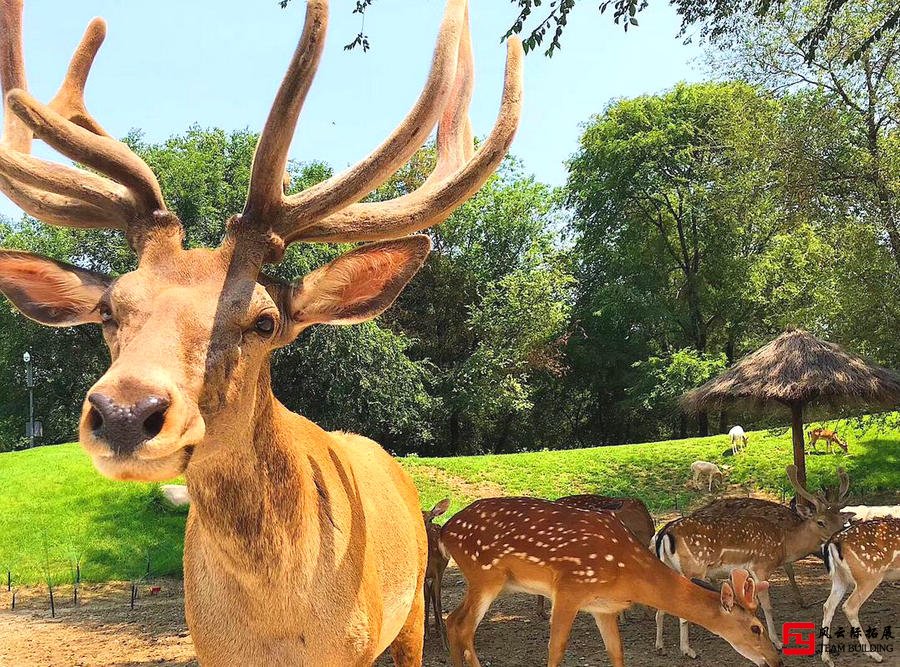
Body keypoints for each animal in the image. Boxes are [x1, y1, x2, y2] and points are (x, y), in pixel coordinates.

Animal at [0, 2, 520, 664]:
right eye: (112, 310)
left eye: (264, 320)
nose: (124, 412)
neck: (278, 629)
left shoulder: (357, 645)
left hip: (406, 615)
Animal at [442, 498, 780, 667]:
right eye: (756, 628)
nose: (776, 660)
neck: (628, 574)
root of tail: (445, 531)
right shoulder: (570, 587)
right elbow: (556, 649)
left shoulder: (603, 607)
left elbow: (617, 652)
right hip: (486, 575)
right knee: (464, 626)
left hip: (484, 580)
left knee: (453, 620)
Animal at [652, 464, 852, 656]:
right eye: (820, 522)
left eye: (841, 520)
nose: (839, 535)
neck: (783, 544)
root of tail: (664, 533)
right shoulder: (760, 567)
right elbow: (768, 605)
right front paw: (777, 642)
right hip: (693, 568)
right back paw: (688, 650)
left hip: (670, 567)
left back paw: (660, 646)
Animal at [824, 520, 900, 664]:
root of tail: (834, 541)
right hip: (869, 575)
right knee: (849, 606)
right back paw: (874, 654)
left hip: (839, 578)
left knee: (828, 606)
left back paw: (827, 658)